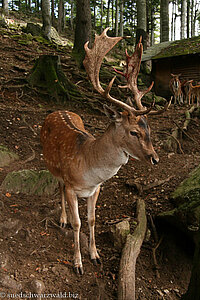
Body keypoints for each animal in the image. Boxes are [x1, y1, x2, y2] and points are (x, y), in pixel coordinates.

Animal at [40, 28, 170, 274]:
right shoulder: (71, 185)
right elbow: (77, 222)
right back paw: (61, 219)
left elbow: (91, 220)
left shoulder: (97, 189)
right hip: (52, 166)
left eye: (148, 128)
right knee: (58, 188)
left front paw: (95, 255)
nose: (155, 158)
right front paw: (78, 263)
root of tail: (57, 110)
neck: (88, 167)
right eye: (133, 132)